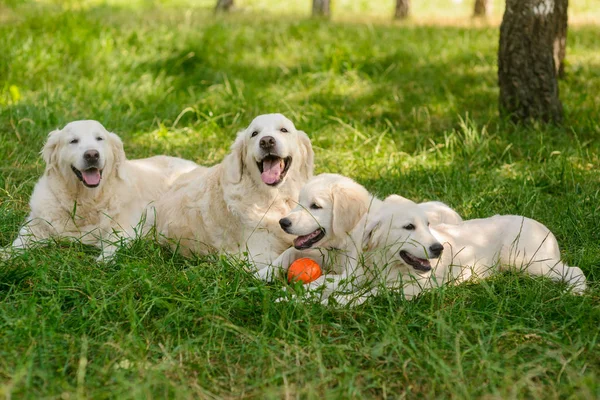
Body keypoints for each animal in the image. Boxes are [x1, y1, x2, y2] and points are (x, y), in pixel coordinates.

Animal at [4, 120, 197, 260]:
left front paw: (103, 261)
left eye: (99, 139)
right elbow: (16, 244)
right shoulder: (35, 226)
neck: (86, 200)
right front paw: (5, 256)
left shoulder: (127, 226)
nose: (92, 155)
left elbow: (114, 243)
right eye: (73, 141)